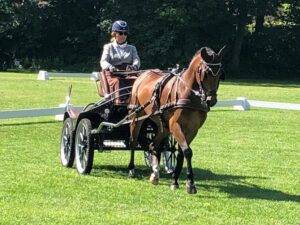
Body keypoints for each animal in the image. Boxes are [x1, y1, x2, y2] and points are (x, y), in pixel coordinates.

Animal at [127, 47, 225, 193]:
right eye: (206, 73)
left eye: (220, 74)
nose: (211, 100)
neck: (188, 93)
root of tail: (142, 75)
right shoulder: (175, 125)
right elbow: (187, 151)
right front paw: (191, 184)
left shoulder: (192, 129)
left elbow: (181, 153)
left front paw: (175, 181)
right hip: (136, 117)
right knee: (133, 141)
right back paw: (132, 169)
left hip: (163, 125)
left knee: (154, 145)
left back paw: (155, 174)